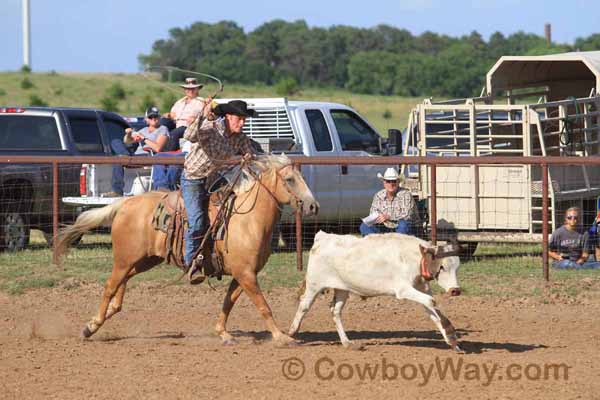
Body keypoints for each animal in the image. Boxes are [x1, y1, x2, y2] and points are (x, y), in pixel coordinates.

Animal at [55, 155, 318, 346]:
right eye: (290, 179)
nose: (313, 206)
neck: (247, 220)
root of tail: (125, 203)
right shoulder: (246, 274)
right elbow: (263, 305)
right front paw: (282, 337)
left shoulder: (243, 274)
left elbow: (228, 302)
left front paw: (223, 333)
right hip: (124, 259)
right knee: (110, 286)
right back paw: (91, 326)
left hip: (142, 260)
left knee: (122, 285)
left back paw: (108, 313)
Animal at [290, 231, 464, 350]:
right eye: (442, 267)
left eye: (457, 267)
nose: (455, 290)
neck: (411, 257)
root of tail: (323, 238)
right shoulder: (403, 289)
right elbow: (431, 301)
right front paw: (450, 333)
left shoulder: (421, 289)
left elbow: (432, 310)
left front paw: (452, 340)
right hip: (314, 284)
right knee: (304, 306)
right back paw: (291, 333)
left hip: (342, 289)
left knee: (335, 311)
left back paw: (347, 342)